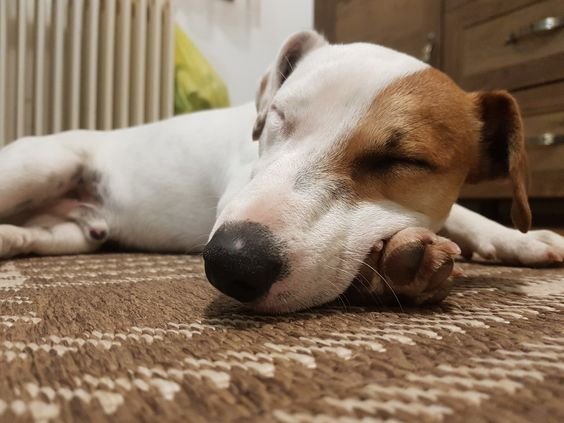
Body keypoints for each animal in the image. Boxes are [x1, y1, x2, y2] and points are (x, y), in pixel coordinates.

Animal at [0, 30, 560, 314]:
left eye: (401, 161)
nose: (231, 262)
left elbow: (462, 212)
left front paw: (518, 239)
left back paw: (11, 239)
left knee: (36, 235)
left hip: (71, 234)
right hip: (45, 164)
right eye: (277, 118)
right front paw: (397, 268)